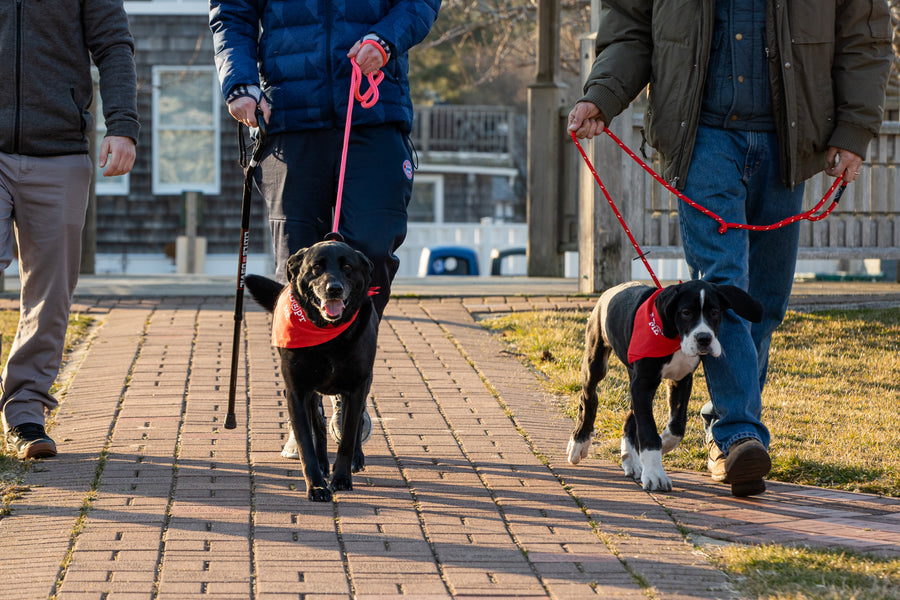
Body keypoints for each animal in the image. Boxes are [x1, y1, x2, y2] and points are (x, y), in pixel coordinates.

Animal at [243, 239, 376, 502]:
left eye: (347, 267)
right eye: (316, 267)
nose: (334, 289)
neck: (328, 335)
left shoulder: (356, 388)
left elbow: (348, 436)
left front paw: (342, 478)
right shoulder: (297, 392)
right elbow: (306, 442)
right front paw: (316, 485)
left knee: (353, 424)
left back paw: (355, 459)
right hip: (312, 394)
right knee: (319, 426)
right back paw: (324, 464)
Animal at [568, 282, 764, 492]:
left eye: (715, 312)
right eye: (686, 313)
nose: (704, 338)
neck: (674, 337)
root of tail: (611, 290)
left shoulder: (681, 380)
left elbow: (677, 426)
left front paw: (661, 447)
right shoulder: (643, 383)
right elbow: (648, 430)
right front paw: (655, 473)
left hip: (633, 376)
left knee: (630, 416)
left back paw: (630, 459)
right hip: (596, 361)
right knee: (588, 398)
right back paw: (579, 442)